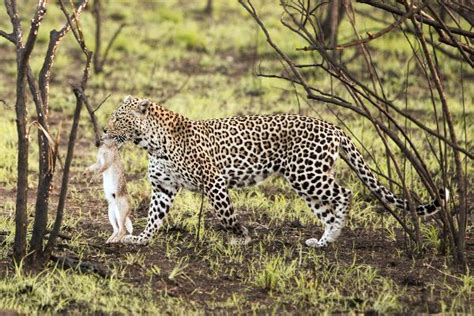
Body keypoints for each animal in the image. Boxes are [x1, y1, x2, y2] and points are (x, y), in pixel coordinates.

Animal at [103, 95, 448, 248]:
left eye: (119, 118)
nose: (105, 130)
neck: (151, 143)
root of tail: (334, 128)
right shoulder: (164, 188)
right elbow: (154, 216)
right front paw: (141, 239)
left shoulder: (215, 182)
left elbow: (227, 215)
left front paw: (240, 237)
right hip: (305, 182)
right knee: (327, 208)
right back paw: (322, 240)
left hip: (307, 175)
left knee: (345, 193)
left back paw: (333, 235)